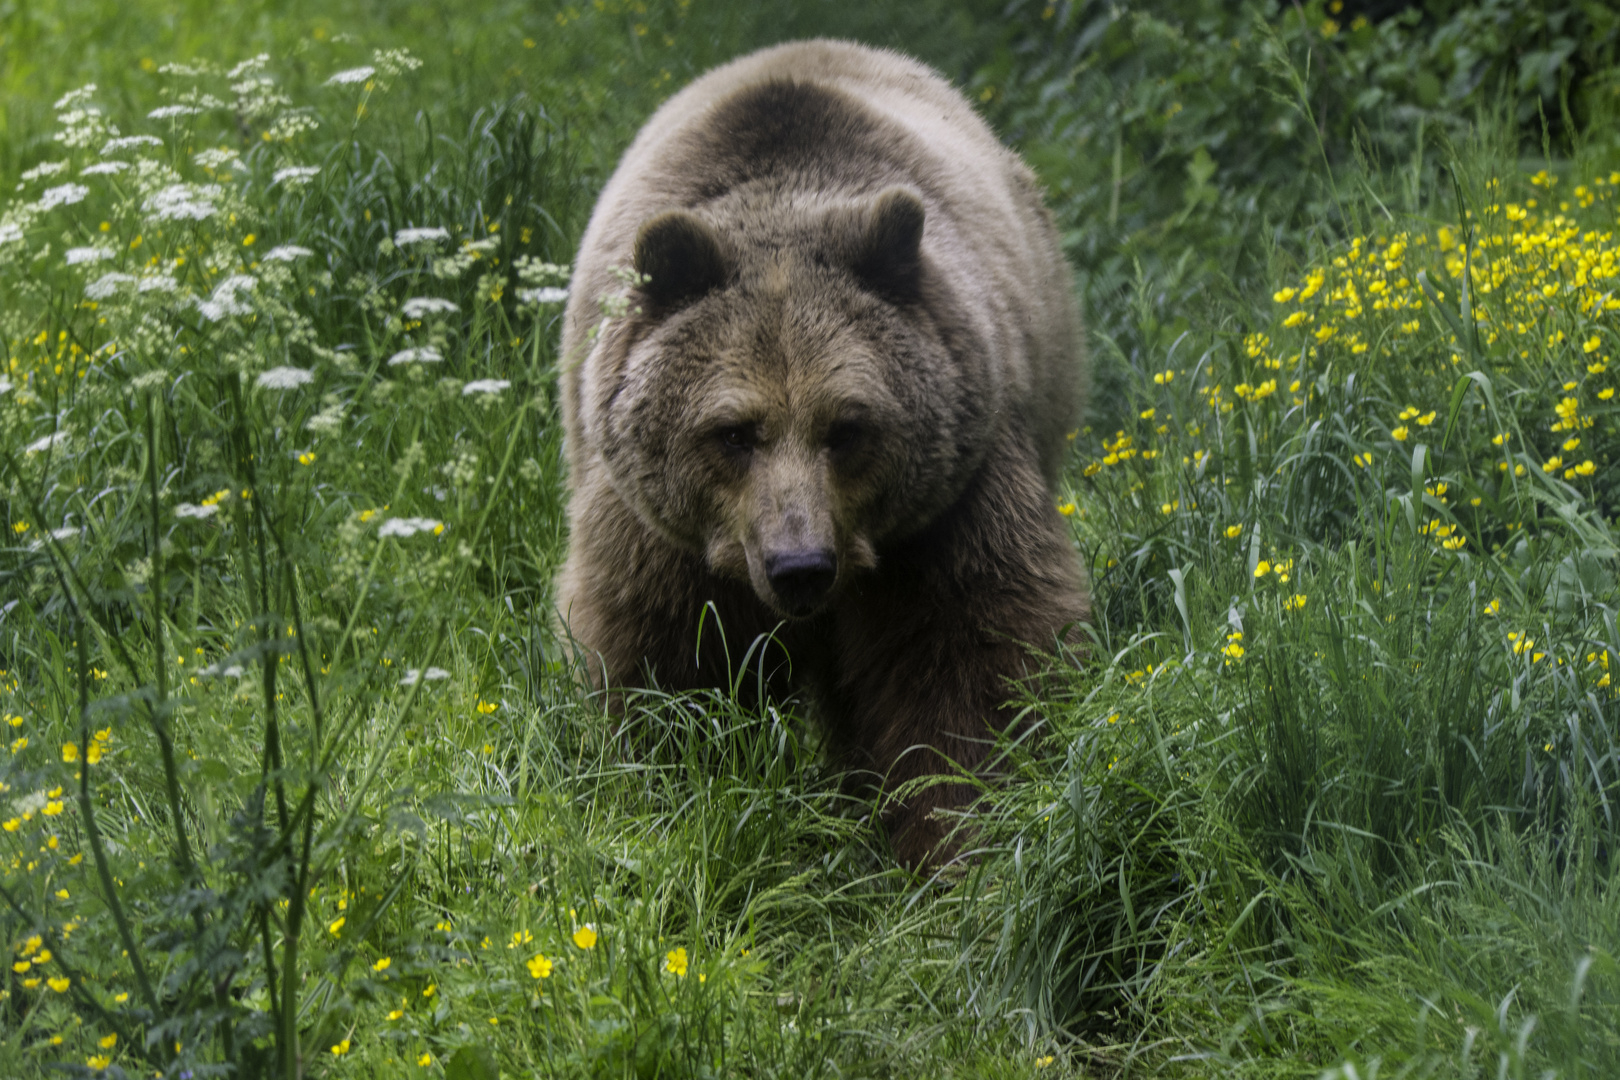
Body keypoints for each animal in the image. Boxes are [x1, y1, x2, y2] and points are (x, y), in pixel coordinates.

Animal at [557, 40, 1088, 867]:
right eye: (734, 431)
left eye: (847, 427)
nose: (800, 566)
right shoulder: (657, 530)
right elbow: (667, 664)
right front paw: (679, 793)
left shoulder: (947, 511)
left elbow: (966, 661)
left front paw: (956, 834)